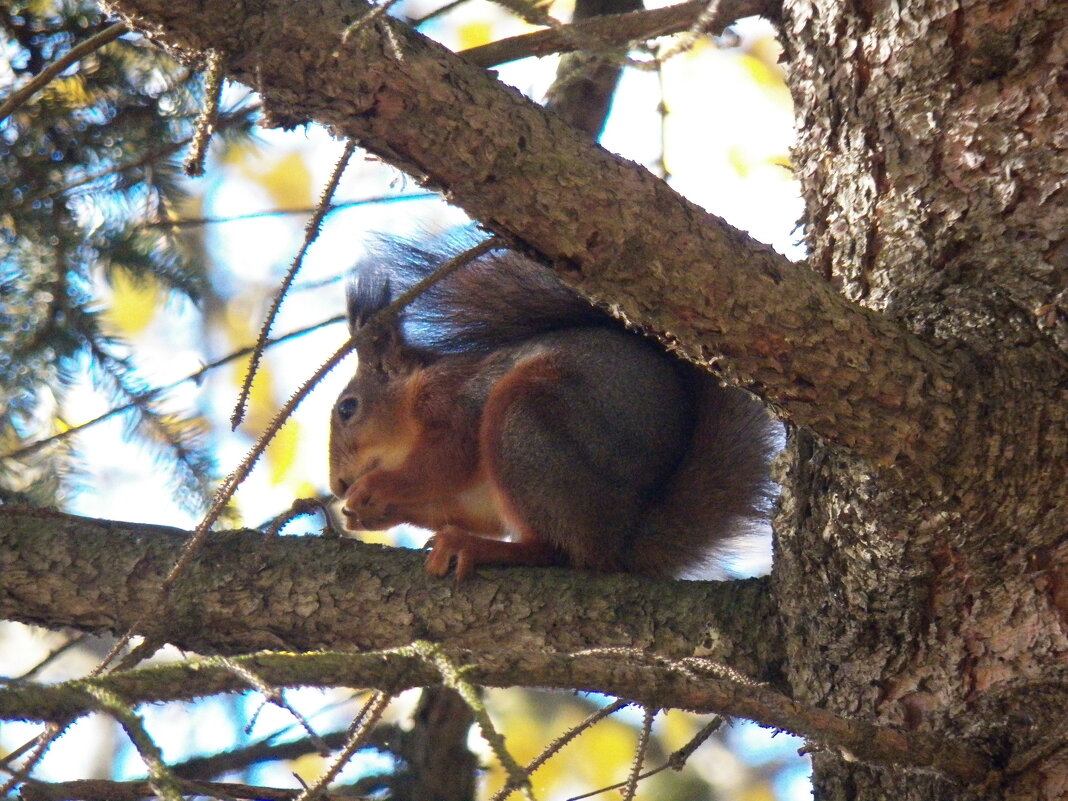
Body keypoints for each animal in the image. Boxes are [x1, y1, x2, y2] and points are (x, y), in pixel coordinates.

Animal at [324, 234, 777, 580]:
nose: (338, 486)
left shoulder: (457, 402)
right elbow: (465, 508)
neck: (411, 398)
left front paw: (375, 489)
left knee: (562, 553)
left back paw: (479, 548)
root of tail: (619, 540)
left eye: (348, 408)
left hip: (525, 425)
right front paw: (365, 514)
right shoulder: (473, 497)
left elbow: (444, 460)